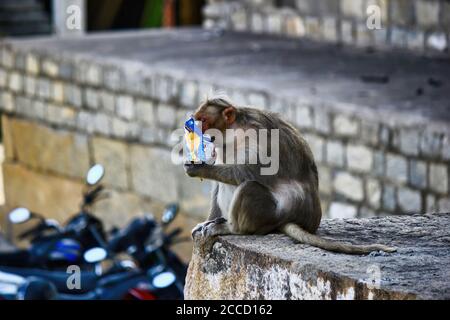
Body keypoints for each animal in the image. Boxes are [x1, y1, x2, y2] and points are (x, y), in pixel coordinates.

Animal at [185, 95, 396, 255]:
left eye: (204, 120)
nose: (189, 128)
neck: (232, 132)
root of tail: (288, 219)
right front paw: (207, 220)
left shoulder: (256, 135)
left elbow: (246, 172)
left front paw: (199, 169)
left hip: (268, 215)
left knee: (248, 187)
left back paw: (233, 229)